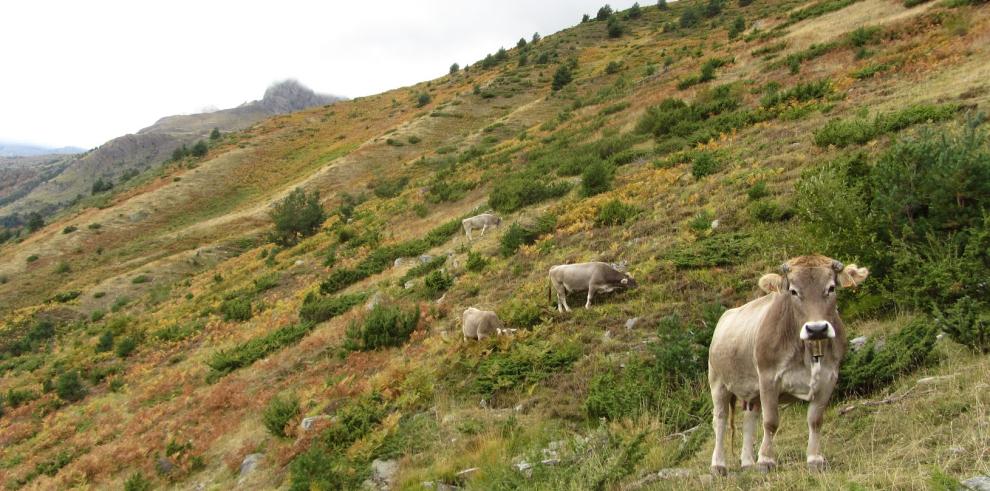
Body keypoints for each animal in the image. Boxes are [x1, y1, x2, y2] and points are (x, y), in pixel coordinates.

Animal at [712, 258, 868, 476]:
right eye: (793, 291)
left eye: (831, 288)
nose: (817, 329)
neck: (808, 351)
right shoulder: (768, 378)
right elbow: (770, 422)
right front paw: (766, 460)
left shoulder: (829, 377)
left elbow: (815, 420)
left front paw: (815, 459)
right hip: (718, 382)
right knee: (720, 420)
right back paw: (718, 465)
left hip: (752, 391)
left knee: (749, 418)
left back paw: (747, 462)